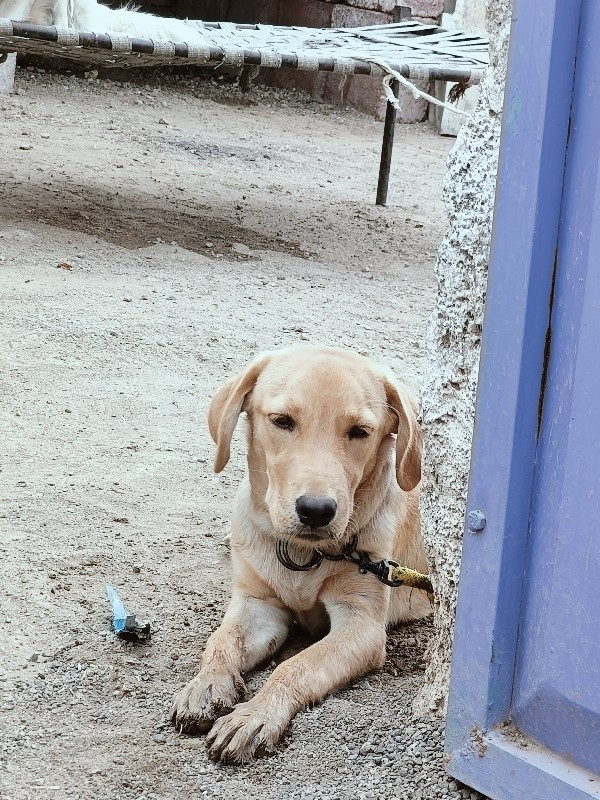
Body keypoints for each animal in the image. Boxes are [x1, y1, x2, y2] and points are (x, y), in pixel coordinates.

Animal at [170, 346, 432, 764]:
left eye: (360, 432)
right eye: (282, 421)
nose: (316, 510)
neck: (303, 555)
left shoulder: (362, 625)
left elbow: (295, 666)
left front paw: (255, 714)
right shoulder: (258, 605)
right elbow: (222, 641)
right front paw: (206, 686)